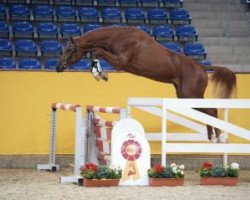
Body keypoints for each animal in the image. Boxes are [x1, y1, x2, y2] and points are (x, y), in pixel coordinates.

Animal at [55, 26, 236, 141]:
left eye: (69, 49)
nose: (58, 67)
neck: (119, 37)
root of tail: (202, 67)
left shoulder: (120, 61)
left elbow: (97, 52)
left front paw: (100, 74)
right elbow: (96, 53)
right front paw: (99, 74)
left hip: (191, 95)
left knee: (212, 110)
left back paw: (218, 136)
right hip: (185, 97)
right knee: (208, 112)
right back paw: (211, 136)